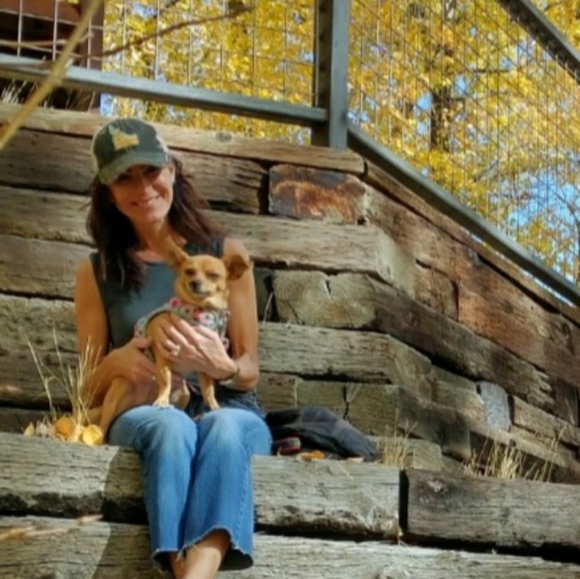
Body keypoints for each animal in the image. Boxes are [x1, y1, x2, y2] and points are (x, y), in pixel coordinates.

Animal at [91, 238, 251, 438]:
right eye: (189, 271)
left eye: (213, 275)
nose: (195, 282)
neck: (200, 312)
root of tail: (137, 404)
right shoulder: (163, 353)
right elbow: (165, 379)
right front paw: (161, 400)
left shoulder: (206, 365)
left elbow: (208, 391)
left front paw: (215, 407)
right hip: (117, 393)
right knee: (103, 425)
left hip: (184, 393)